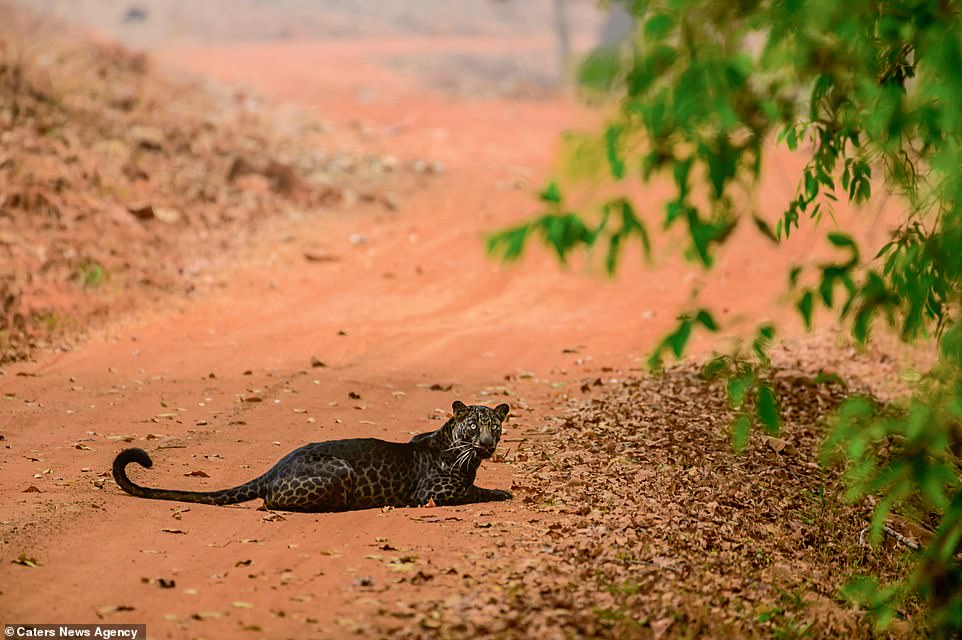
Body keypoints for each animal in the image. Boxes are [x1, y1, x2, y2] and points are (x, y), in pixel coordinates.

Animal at [111, 400, 510, 516]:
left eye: (496, 427)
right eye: (473, 426)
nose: (488, 443)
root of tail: (276, 467)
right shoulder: (436, 493)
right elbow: (477, 491)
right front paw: (503, 492)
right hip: (339, 469)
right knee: (271, 502)